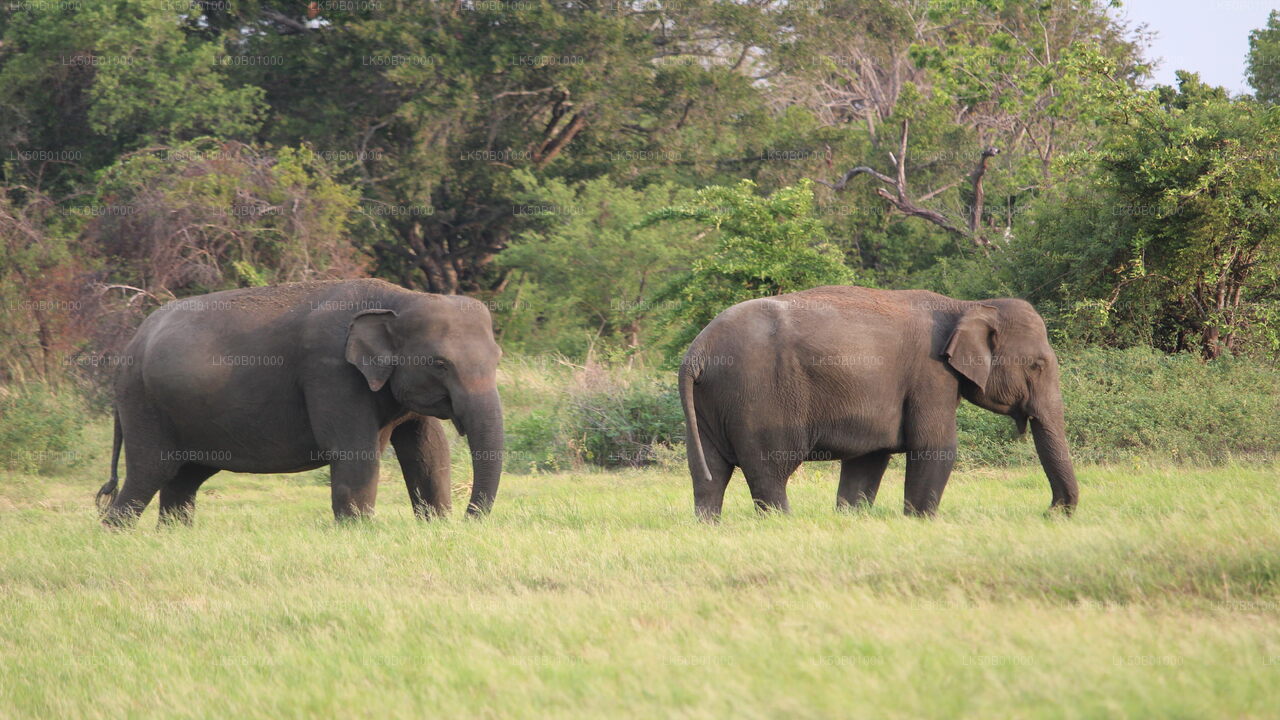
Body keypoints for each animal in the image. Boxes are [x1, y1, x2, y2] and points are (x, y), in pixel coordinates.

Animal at [93, 278, 504, 525]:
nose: (468, 519)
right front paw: (359, 532)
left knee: (183, 481)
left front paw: (436, 524)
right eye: (440, 364)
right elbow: (355, 452)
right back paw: (115, 535)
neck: (398, 298)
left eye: (498, 358)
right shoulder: (330, 373)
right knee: (148, 474)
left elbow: (428, 450)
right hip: (143, 404)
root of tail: (130, 344)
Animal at [680, 284, 1080, 515]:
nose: (1052, 511)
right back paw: (782, 523)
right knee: (769, 471)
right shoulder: (931, 375)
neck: (967, 305)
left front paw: (851, 518)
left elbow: (868, 460)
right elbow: (936, 447)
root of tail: (697, 352)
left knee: (709, 474)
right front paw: (920, 520)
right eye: (1037, 365)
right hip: (758, 399)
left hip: (708, 404)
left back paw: (709, 526)